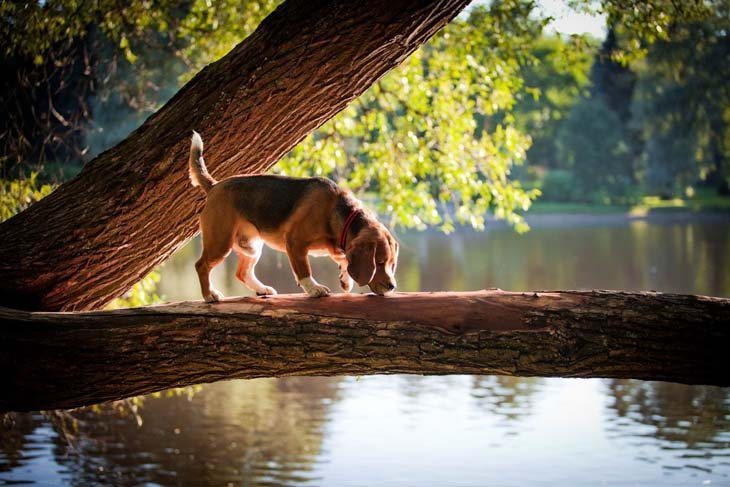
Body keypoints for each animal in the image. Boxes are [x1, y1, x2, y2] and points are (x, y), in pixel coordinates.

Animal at [188, 132, 398, 304]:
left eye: (391, 264)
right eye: (379, 263)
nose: (392, 286)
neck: (339, 212)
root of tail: (215, 185)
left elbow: (344, 260)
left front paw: (346, 280)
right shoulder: (295, 243)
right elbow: (304, 271)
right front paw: (314, 289)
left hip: (252, 246)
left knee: (243, 273)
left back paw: (262, 289)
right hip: (220, 243)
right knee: (201, 266)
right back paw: (209, 295)